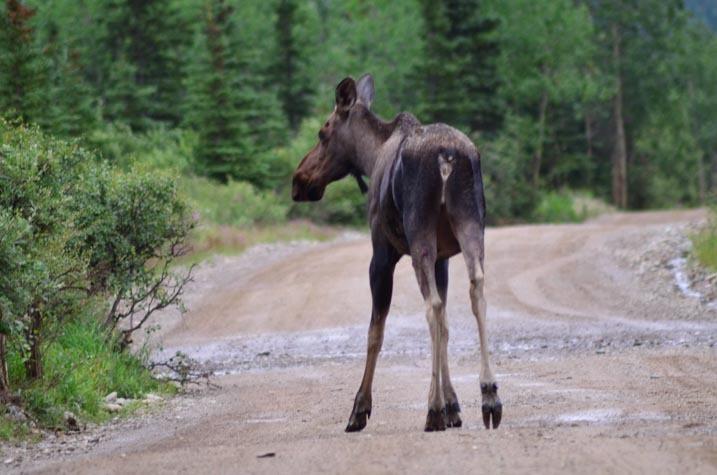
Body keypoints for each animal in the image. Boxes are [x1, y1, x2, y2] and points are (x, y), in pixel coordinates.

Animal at [290, 73, 498, 432]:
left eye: (322, 132)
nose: (298, 180)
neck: (371, 155)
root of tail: (447, 157)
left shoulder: (381, 253)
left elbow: (376, 331)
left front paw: (360, 408)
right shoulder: (444, 258)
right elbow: (446, 327)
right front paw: (454, 405)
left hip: (420, 235)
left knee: (432, 306)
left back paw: (432, 408)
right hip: (471, 225)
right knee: (476, 292)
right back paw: (489, 396)